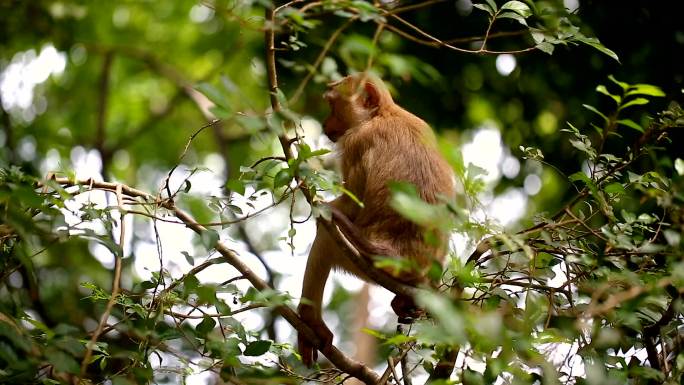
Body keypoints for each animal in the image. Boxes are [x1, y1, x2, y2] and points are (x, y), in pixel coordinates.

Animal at [298, 73, 454, 366]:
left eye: (333, 106)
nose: (325, 125)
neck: (383, 113)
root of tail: (400, 256)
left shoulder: (356, 141)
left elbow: (350, 205)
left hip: (361, 258)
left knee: (326, 236)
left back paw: (310, 321)